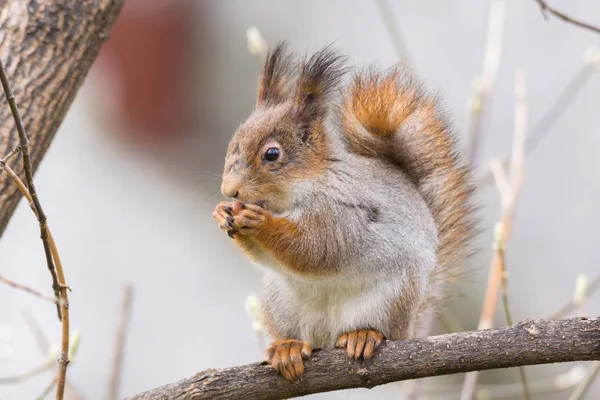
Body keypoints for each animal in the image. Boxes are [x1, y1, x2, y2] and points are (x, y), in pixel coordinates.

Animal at [213, 42, 476, 380]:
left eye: (272, 154)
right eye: (232, 144)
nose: (229, 190)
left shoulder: (339, 214)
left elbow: (314, 249)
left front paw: (259, 222)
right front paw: (222, 214)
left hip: (391, 298)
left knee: (382, 330)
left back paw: (363, 335)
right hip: (280, 304)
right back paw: (288, 347)